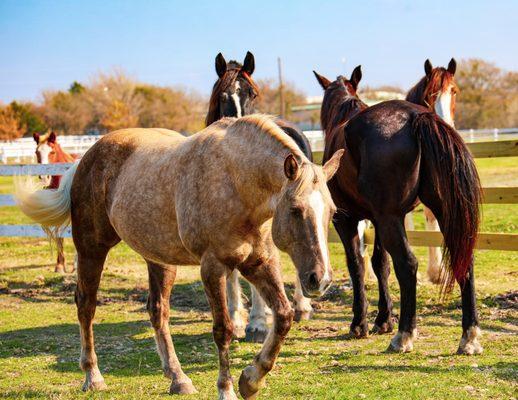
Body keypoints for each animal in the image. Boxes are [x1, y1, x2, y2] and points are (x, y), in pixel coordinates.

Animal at [15, 114, 346, 398]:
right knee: (86, 306)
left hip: (159, 259)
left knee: (157, 311)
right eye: (296, 210)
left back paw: (178, 378)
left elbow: (284, 316)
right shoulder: (213, 267)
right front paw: (226, 389)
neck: (235, 180)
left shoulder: (259, 263)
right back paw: (92, 376)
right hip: (91, 249)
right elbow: (223, 330)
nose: (320, 279)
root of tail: (85, 159)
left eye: (331, 212)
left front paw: (251, 380)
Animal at [314, 67, 486, 354]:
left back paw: (404, 335)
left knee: (407, 264)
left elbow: (357, 264)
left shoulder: (347, 220)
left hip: (390, 220)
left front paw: (360, 323)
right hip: (439, 213)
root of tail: (419, 117)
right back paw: (469, 336)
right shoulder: (380, 219)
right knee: (464, 260)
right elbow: (380, 264)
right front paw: (383, 320)